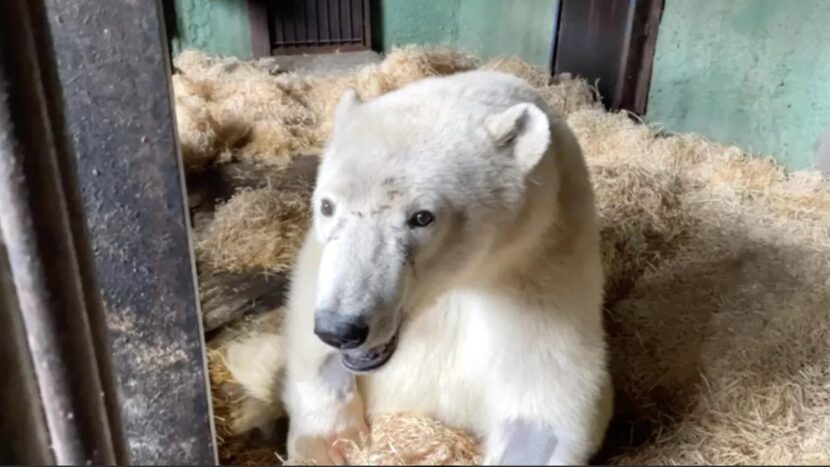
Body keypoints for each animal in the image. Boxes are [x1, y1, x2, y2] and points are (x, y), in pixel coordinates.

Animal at [280, 71, 612, 466]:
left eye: (422, 217)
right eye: (327, 206)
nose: (341, 328)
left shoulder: (543, 272)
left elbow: (541, 412)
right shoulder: (319, 261)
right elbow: (309, 348)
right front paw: (328, 444)